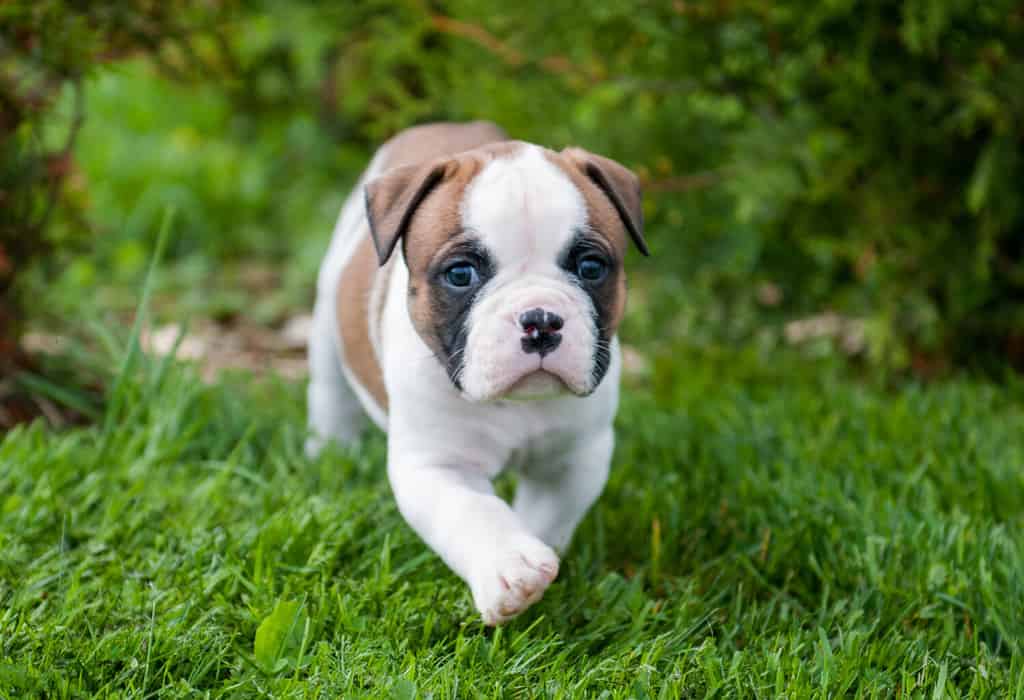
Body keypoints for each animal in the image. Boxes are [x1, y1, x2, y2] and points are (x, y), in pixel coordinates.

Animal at [303, 120, 651, 622]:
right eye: (461, 274)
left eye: (591, 267)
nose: (540, 320)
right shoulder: (437, 465)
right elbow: (473, 512)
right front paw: (509, 567)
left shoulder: (573, 458)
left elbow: (546, 517)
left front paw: (533, 561)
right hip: (328, 322)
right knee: (330, 394)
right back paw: (329, 453)